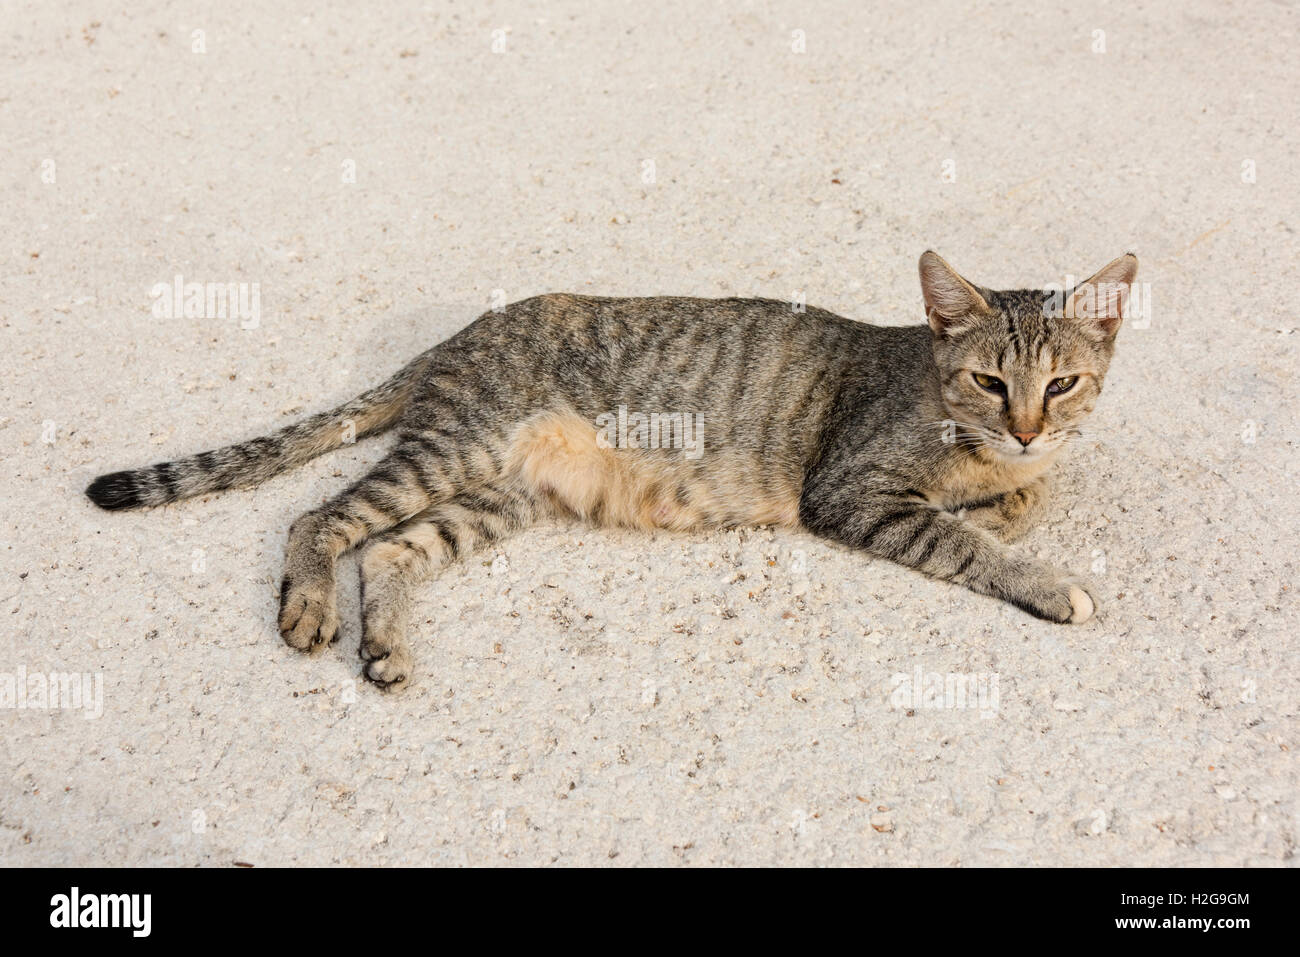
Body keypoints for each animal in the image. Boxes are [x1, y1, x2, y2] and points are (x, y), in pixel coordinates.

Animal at [86, 252, 1138, 686]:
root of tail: (453, 338)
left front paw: (1007, 498)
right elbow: (966, 540)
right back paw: (308, 602)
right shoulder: (848, 492)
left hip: (496, 496)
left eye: (1065, 383)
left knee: (387, 551)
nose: (1030, 428)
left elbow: (1023, 496)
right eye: (992, 381)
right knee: (322, 517)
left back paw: (383, 645)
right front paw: (1044, 576)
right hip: (456, 447)